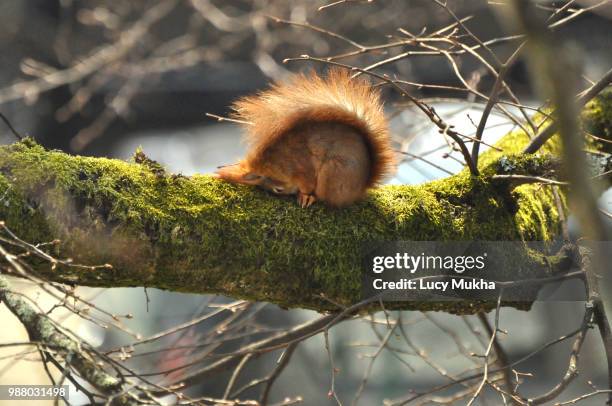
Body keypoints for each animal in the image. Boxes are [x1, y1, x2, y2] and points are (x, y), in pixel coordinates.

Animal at [215, 68, 396, 208]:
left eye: (278, 190)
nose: (282, 193)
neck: (278, 162)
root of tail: (361, 188)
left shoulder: (303, 167)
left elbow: (307, 183)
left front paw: (304, 195)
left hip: (332, 173)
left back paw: (311, 197)